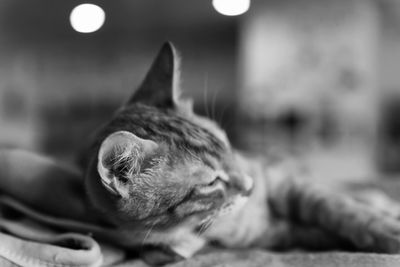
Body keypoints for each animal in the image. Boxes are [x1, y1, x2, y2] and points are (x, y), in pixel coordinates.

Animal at [82, 42, 400, 266]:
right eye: (211, 182)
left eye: (229, 148)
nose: (251, 186)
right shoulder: (275, 232)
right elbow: (315, 230)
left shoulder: (279, 178)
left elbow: (337, 207)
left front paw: (382, 227)